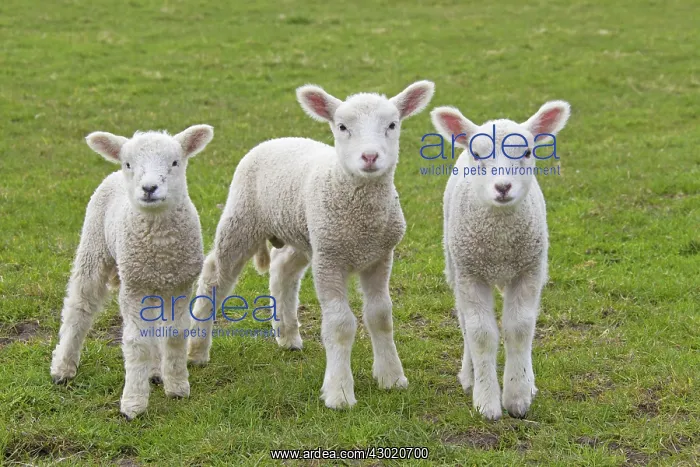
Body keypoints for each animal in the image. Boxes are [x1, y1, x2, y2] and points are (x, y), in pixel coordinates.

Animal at [49, 125, 214, 420]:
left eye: (175, 162)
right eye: (129, 163)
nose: (149, 188)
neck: (159, 246)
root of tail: (113, 175)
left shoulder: (179, 285)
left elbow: (174, 334)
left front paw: (177, 386)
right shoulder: (134, 288)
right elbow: (137, 343)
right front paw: (134, 403)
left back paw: (156, 371)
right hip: (94, 248)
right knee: (79, 307)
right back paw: (63, 368)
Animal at [186, 81, 435, 409]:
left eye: (392, 125)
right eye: (342, 126)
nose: (370, 157)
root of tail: (278, 139)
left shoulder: (379, 256)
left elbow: (380, 316)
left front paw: (392, 377)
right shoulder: (330, 258)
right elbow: (340, 325)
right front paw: (339, 393)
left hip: (304, 235)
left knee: (282, 271)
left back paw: (287, 335)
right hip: (242, 219)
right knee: (215, 277)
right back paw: (197, 350)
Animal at [431, 101, 571, 420]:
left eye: (528, 152)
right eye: (478, 154)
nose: (503, 187)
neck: (500, 241)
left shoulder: (528, 270)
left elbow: (519, 328)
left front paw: (517, 396)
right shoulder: (470, 273)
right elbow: (481, 334)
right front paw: (487, 402)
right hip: (454, 264)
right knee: (464, 320)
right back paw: (469, 376)